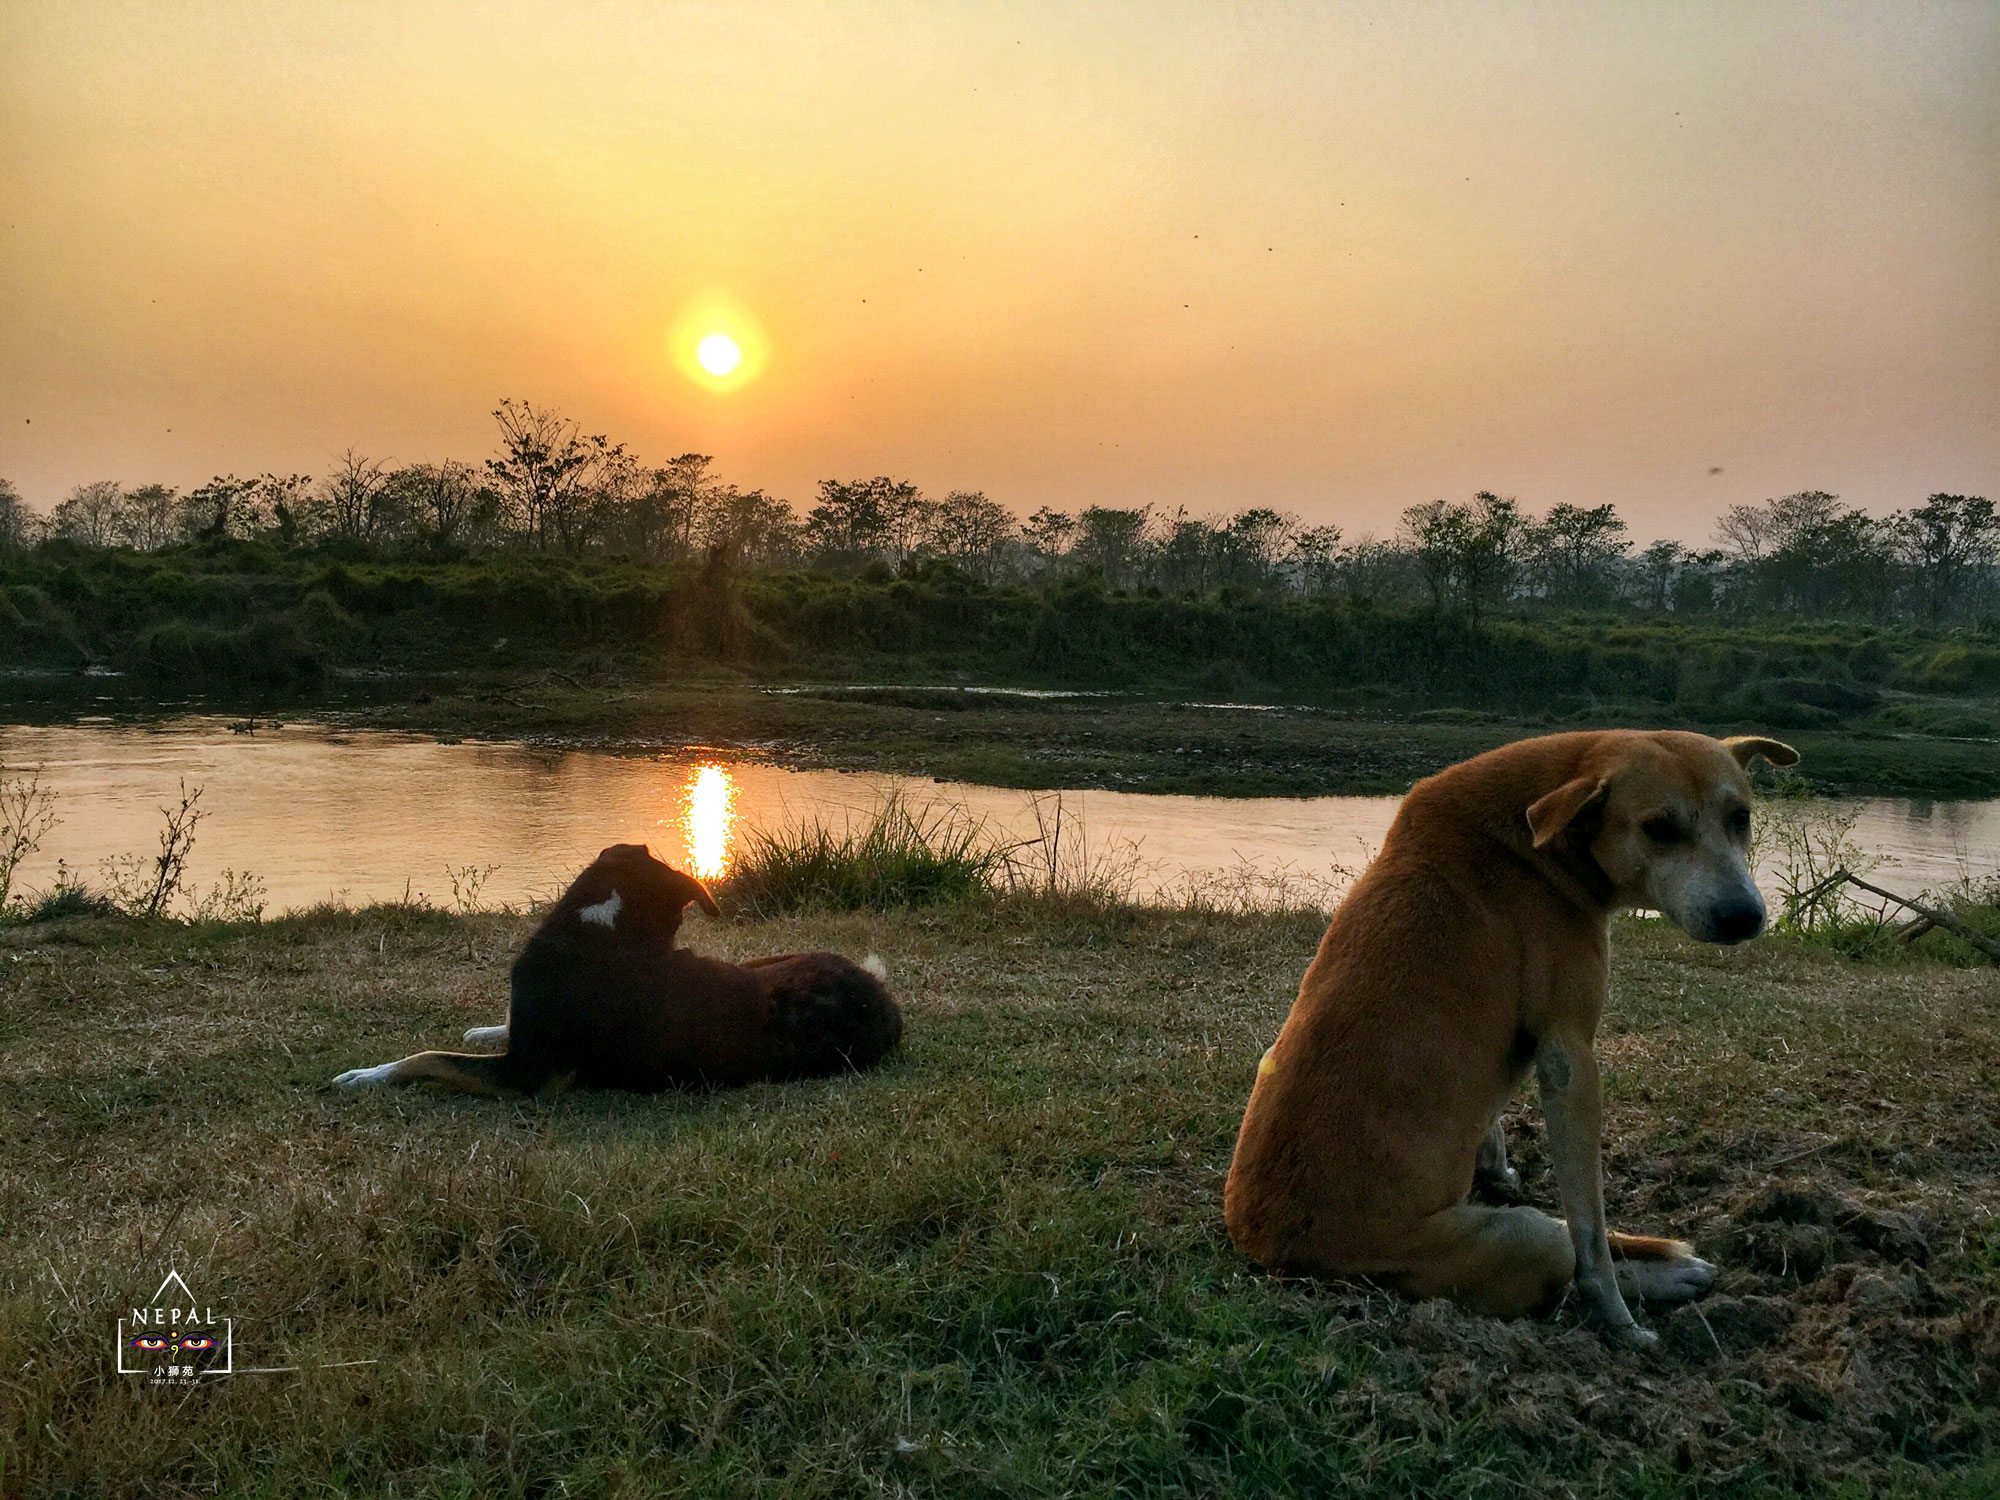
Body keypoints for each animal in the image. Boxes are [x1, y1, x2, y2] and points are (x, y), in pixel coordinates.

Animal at [338, 848, 908, 1104]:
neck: (604, 931)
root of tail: (881, 998)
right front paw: (486, 1027)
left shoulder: (526, 1075)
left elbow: (426, 1057)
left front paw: (364, 1076)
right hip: (772, 962)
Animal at [1224, 728, 1808, 1352]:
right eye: (1658, 828)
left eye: (1740, 817)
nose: (1743, 916)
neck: (1540, 837)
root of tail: (1269, 1249)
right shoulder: (1570, 1058)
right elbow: (1590, 1228)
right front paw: (1621, 1323)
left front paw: (1496, 1165)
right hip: (1513, 1241)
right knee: (1567, 1249)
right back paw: (1662, 1276)